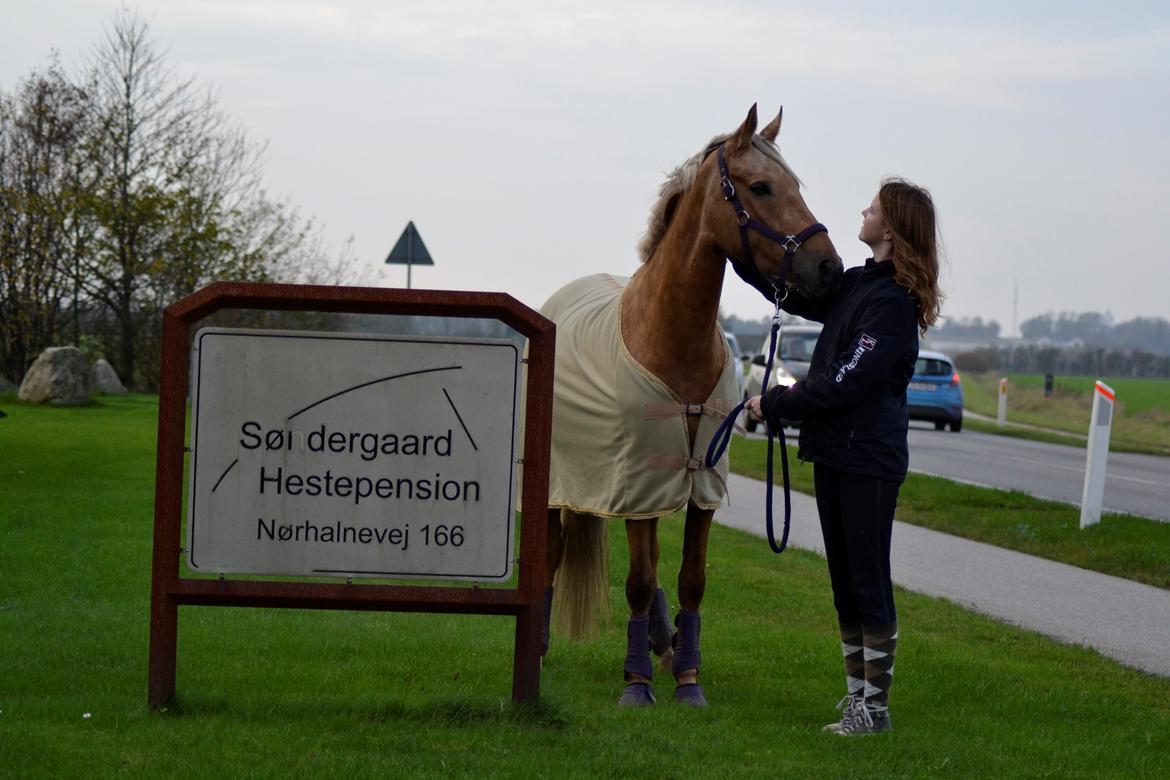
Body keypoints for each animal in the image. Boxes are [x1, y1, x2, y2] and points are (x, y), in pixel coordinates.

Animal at [535, 105, 847, 706]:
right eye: (760, 186)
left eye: (796, 186)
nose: (829, 268)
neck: (671, 340)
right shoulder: (635, 485)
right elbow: (637, 582)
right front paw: (636, 685)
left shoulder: (698, 486)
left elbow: (689, 579)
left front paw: (687, 677)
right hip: (565, 485)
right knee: (556, 554)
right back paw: (541, 648)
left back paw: (665, 645)